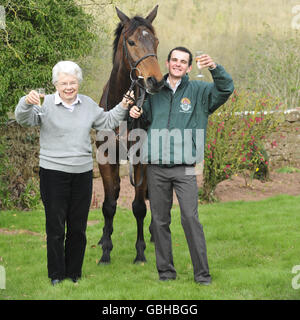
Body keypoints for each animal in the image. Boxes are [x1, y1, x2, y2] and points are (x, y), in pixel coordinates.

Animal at [96, 6, 164, 264]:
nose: (156, 81)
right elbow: (109, 205)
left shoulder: (140, 160)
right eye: (132, 41)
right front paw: (106, 251)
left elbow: (139, 207)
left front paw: (140, 252)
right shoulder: (106, 159)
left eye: (155, 41)